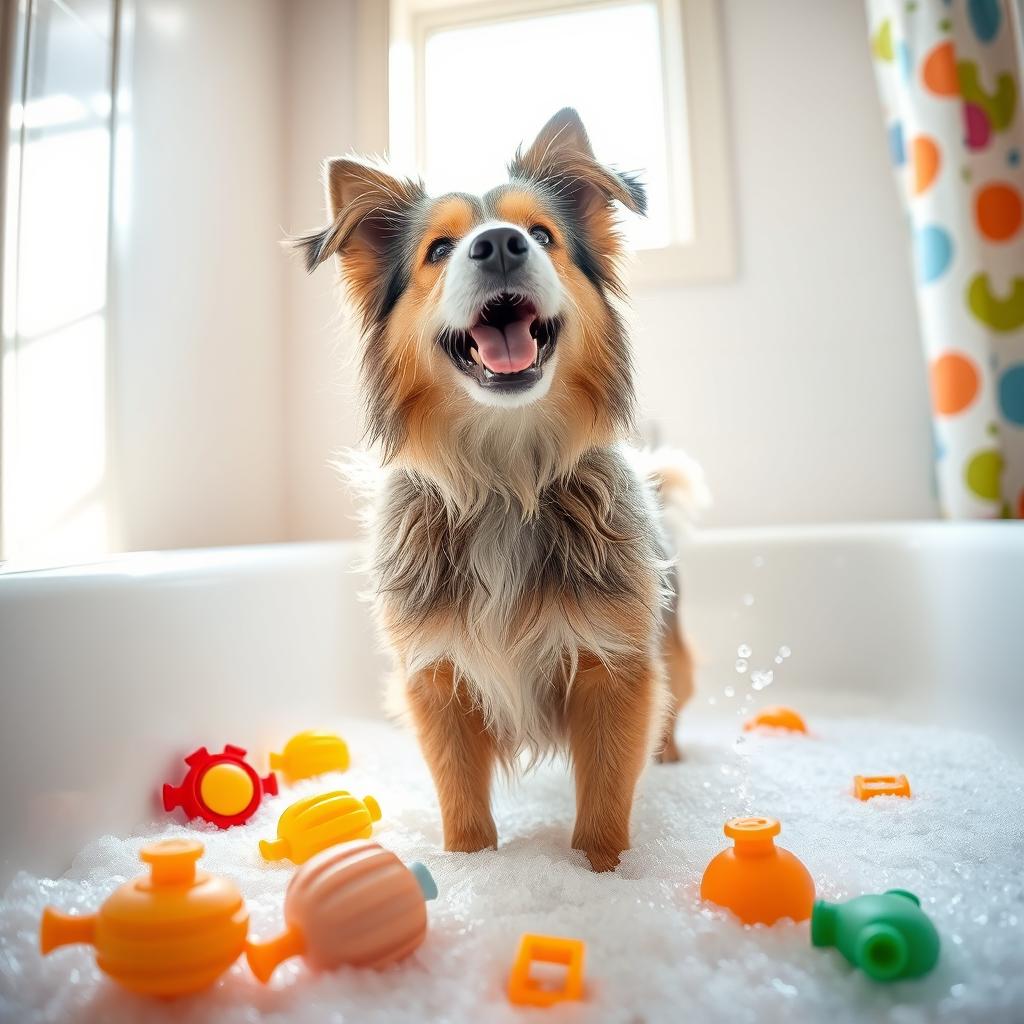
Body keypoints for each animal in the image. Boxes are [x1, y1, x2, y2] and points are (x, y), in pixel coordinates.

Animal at [294, 105, 696, 872]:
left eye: (541, 234)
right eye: (439, 250)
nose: (501, 245)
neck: (506, 478)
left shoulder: (616, 667)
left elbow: (605, 802)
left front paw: (602, 876)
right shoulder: (436, 678)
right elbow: (461, 802)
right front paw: (469, 867)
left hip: (673, 653)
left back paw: (669, 756)